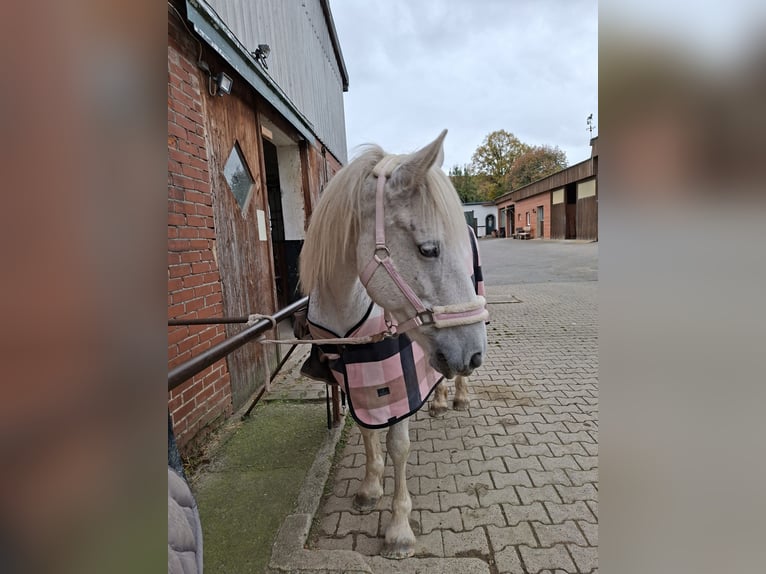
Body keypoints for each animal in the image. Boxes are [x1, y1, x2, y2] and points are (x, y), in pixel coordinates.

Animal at [299, 130, 488, 559]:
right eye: (428, 249)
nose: (473, 354)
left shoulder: (399, 385)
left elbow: (397, 445)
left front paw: (399, 528)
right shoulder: (354, 379)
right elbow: (368, 433)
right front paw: (370, 488)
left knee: (452, 379)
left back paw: (459, 396)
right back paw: (438, 401)